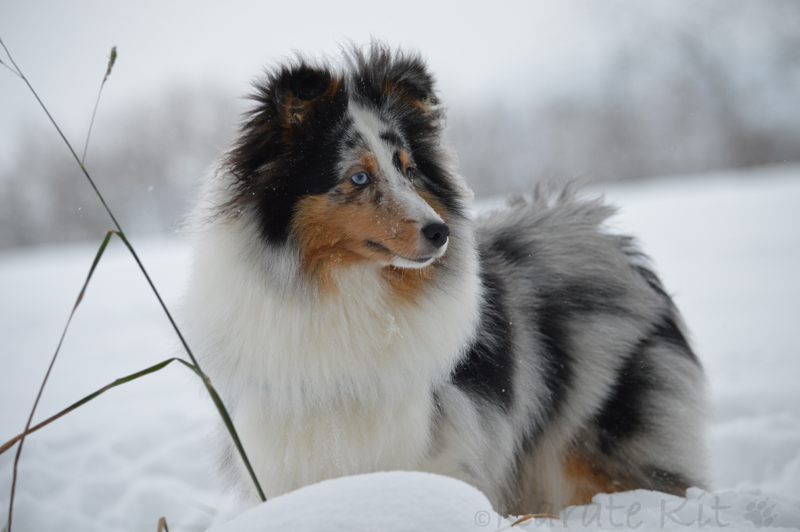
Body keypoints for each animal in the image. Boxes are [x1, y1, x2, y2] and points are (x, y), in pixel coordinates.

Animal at [183, 44, 708, 516]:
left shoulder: (440, 444)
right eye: (358, 178)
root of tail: (604, 236)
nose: (441, 232)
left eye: (410, 170)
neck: (349, 292)